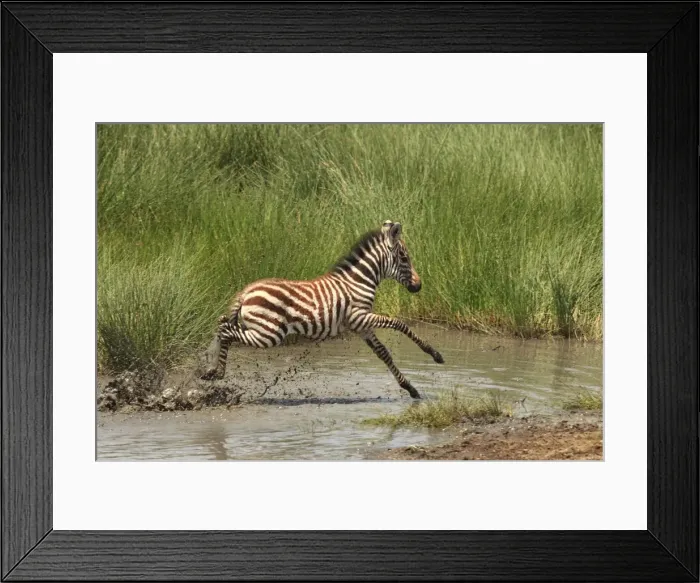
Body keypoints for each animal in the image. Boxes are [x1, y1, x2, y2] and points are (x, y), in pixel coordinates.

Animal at [200, 220, 444, 398]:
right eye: (404, 257)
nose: (418, 286)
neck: (359, 281)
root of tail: (246, 291)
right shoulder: (360, 316)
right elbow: (399, 323)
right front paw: (435, 354)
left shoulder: (361, 325)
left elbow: (383, 353)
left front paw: (411, 388)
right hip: (268, 333)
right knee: (226, 330)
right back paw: (217, 372)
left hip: (260, 329)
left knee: (223, 324)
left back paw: (211, 370)